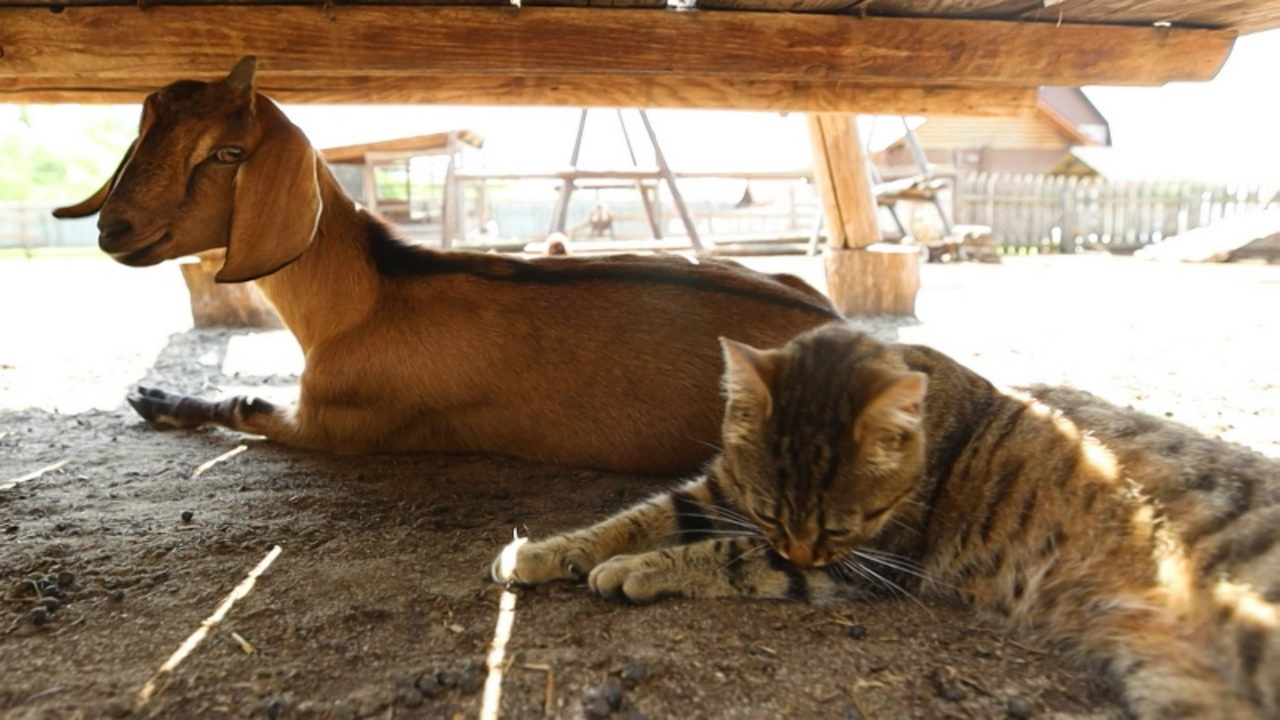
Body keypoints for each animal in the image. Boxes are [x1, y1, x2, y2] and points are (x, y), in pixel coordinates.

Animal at [55, 58, 839, 474]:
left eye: (227, 153)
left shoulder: (337, 425)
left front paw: (156, 398)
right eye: (144, 133)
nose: (113, 227)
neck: (368, 297)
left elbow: (242, 403)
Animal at [494, 322, 1280, 712]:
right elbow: (628, 519)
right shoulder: (718, 494)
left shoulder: (862, 564)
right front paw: (541, 552)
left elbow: (723, 556)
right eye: (769, 508)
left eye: (839, 528)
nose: (803, 549)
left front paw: (631, 570)